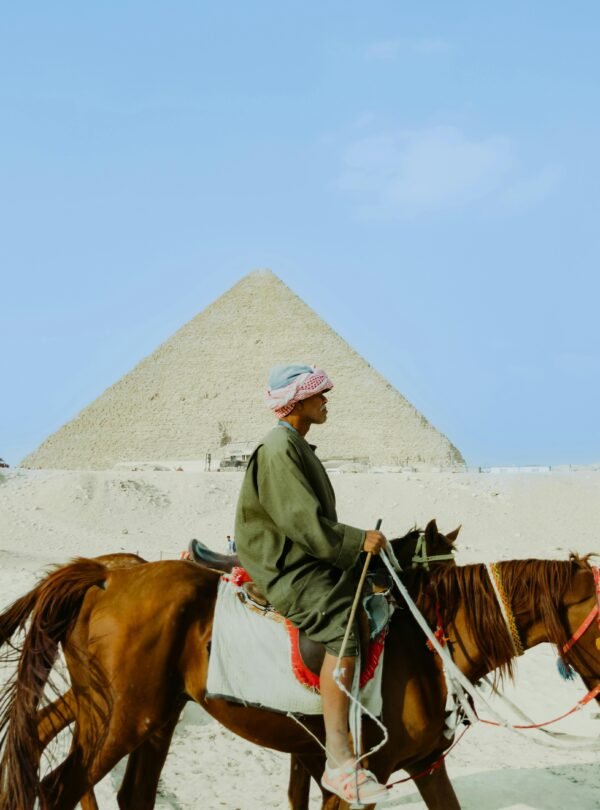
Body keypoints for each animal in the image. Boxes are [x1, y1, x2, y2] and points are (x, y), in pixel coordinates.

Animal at [2, 551, 599, 809]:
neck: (428, 639)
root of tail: (105, 575)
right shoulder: (364, 771)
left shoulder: (424, 765)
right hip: (121, 717)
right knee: (57, 788)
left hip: (152, 716)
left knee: (128, 793)